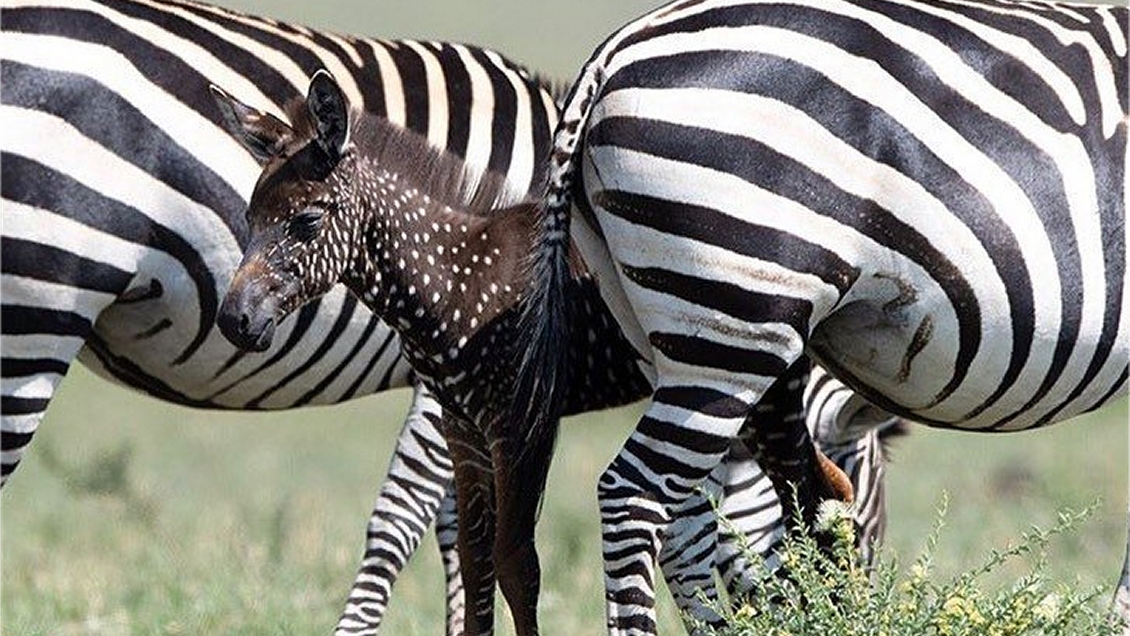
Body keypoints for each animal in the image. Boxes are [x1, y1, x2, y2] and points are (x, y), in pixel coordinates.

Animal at [1, 0, 895, 633]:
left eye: (304, 223)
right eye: (248, 219)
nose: (238, 319)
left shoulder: (488, 407)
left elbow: (471, 543)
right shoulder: (464, 407)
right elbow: (456, 541)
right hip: (35, 311)